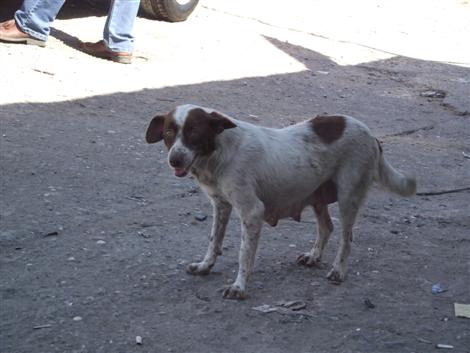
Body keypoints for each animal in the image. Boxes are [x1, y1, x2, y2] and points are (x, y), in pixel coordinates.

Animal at [146, 103, 414, 298]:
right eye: (169, 132)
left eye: (194, 131)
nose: (175, 160)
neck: (218, 153)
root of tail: (371, 134)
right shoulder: (221, 205)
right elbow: (214, 241)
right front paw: (205, 266)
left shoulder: (252, 212)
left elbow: (244, 254)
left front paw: (239, 287)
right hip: (316, 195)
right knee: (327, 227)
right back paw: (313, 256)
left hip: (349, 196)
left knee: (346, 238)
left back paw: (338, 270)